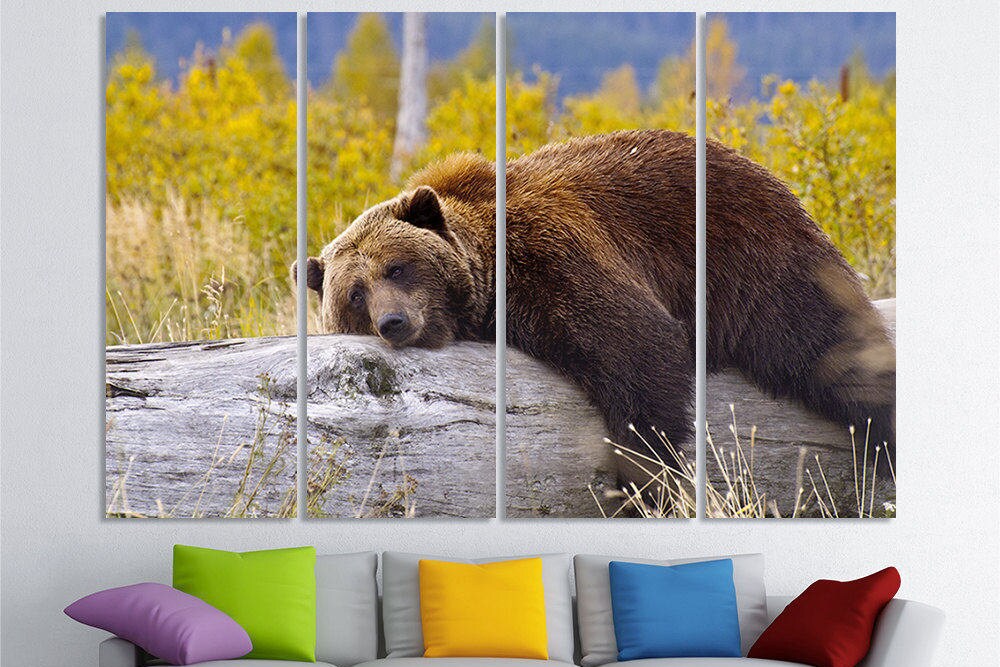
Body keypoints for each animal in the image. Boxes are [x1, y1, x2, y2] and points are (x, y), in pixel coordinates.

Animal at [295, 129, 895, 480]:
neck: (494, 275)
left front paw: (649, 477)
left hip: (755, 261)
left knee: (832, 350)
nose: (394, 321)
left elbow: (636, 345)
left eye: (396, 267)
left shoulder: (554, 254)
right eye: (355, 293)